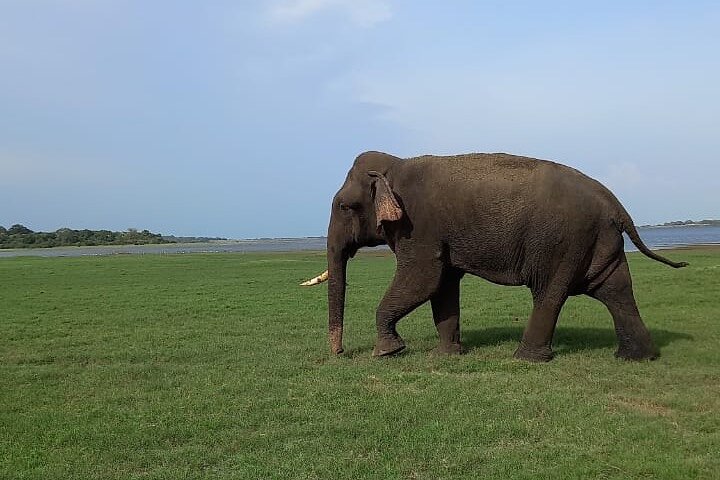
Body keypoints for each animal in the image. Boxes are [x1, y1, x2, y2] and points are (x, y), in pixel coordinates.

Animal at [302, 151, 687, 362]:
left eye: (344, 206)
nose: (340, 353)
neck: (395, 164)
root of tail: (616, 203)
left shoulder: (419, 227)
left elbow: (422, 278)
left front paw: (386, 352)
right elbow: (442, 285)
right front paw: (447, 355)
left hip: (563, 242)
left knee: (549, 292)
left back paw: (526, 359)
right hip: (598, 241)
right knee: (615, 290)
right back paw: (636, 357)